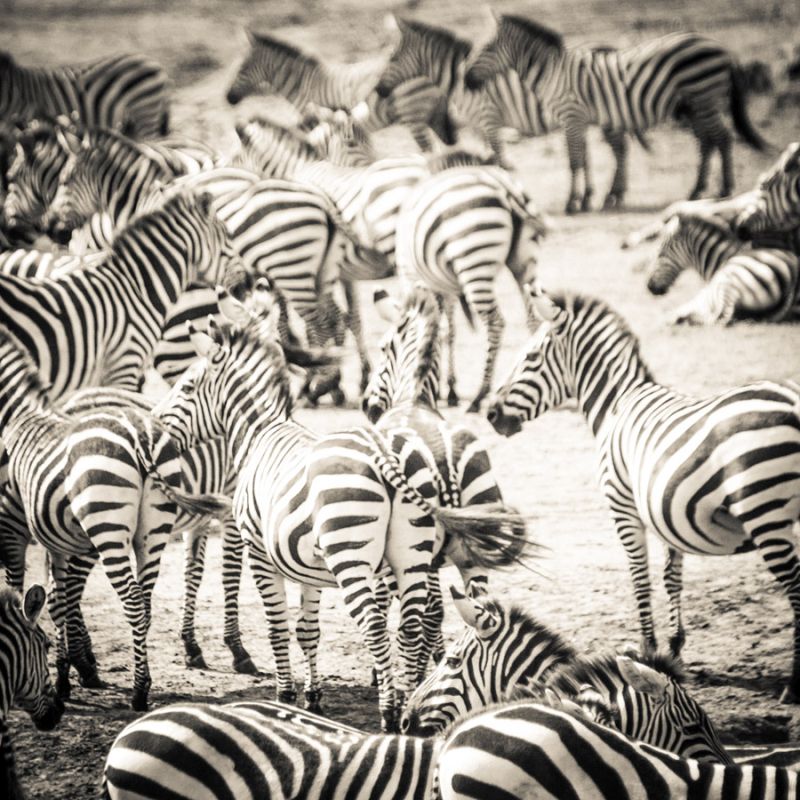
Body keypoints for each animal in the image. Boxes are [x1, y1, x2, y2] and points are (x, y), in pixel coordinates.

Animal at [153, 294, 531, 730]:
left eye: (186, 386)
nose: (156, 424)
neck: (262, 431)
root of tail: (386, 456)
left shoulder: (259, 551)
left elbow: (278, 627)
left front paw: (285, 696)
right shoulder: (306, 566)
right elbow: (307, 630)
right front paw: (313, 698)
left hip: (351, 553)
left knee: (377, 625)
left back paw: (390, 711)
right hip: (422, 554)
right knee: (419, 622)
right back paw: (412, 701)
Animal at [394, 161, 548, 411]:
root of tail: (504, 188)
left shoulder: (417, 280)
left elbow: (432, 330)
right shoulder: (444, 288)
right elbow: (448, 332)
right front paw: (449, 390)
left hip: (474, 257)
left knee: (496, 322)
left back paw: (480, 394)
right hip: (524, 263)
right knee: (534, 319)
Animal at [465, 15, 768, 213]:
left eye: (487, 48)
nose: (466, 80)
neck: (553, 73)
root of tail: (720, 47)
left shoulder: (571, 115)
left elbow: (575, 161)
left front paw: (572, 203)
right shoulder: (576, 119)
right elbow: (583, 159)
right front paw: (586, 200)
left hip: (704, 97)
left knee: (723, 138)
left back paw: (724, 189)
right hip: (696, 105)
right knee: (708, 142)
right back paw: (695, 192)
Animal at [487, 288, 800, 703]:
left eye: (530, 358)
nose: (490, 415)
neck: (616, 405)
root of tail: (792, 401)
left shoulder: (623, 507)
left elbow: (639, 576)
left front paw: (647, 649)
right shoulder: (668, 510)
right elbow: (671, 575)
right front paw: (674, 647)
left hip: (766, 512)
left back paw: (793, 684)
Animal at [646, 211, 800, 324]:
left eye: (660, 253)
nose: (649, 287)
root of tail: (793, 280)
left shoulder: (705, 296)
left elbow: (678, 310)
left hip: (730, 282)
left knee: (721, 318)